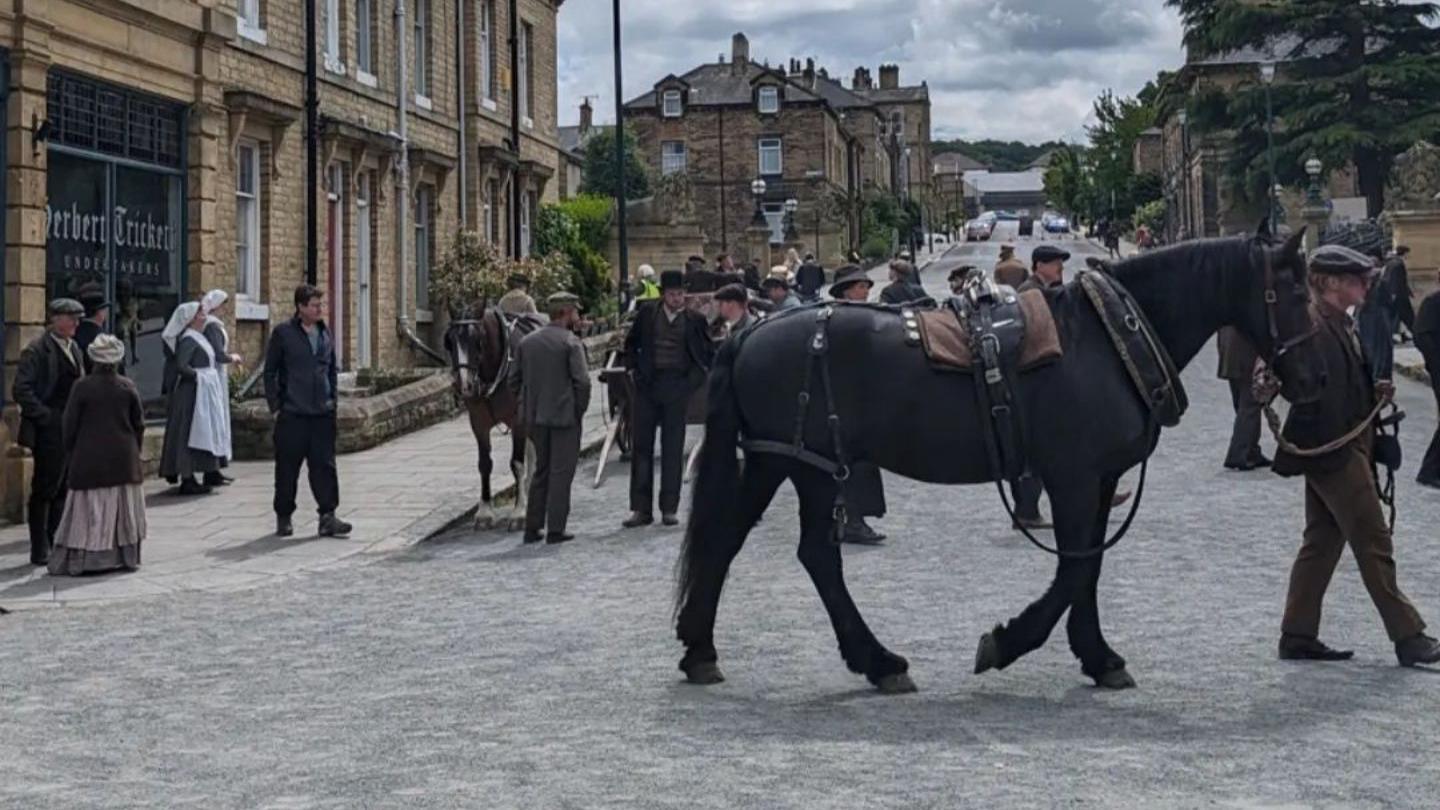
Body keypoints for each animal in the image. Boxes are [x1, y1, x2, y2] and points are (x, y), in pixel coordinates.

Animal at [443, 305, 541, 527]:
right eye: (449, 342)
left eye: (477, 340)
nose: (464, 385)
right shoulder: (478, 423)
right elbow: (484, 464)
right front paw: (485, 511)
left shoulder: (518, 419)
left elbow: (516, 464)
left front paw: (519, 512)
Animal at [676, 224, 1324, 686]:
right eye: (1296, 289)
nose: (1314, 375)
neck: (1108, 338)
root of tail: (750, 332)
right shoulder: (1074, 476)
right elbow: (1075, 567)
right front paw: (1012, 641)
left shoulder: (1097, 478)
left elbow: (1087, 565)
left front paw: (1095, 654)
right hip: (807, 464)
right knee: (815, 555)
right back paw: (877, 660)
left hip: (777, 461)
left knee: (731, 540)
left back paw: (701, 646)